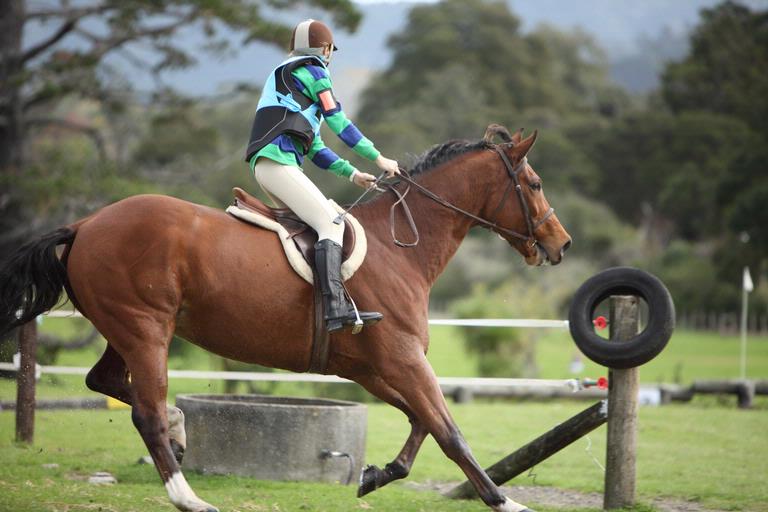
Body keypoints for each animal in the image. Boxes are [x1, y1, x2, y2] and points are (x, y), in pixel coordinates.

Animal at [0, 125, 568, 512]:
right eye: (537, 183)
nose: (561, 245)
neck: (400, 247)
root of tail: (86, 223)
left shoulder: (370, 367)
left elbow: (419, 421)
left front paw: (378, 475)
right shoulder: (403, 359)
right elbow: (449, 431)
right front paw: (505, 501)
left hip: (128, 328)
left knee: (106, 382)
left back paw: (182, 435)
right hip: (146, 330)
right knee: (147, 412)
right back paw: (189, 496)